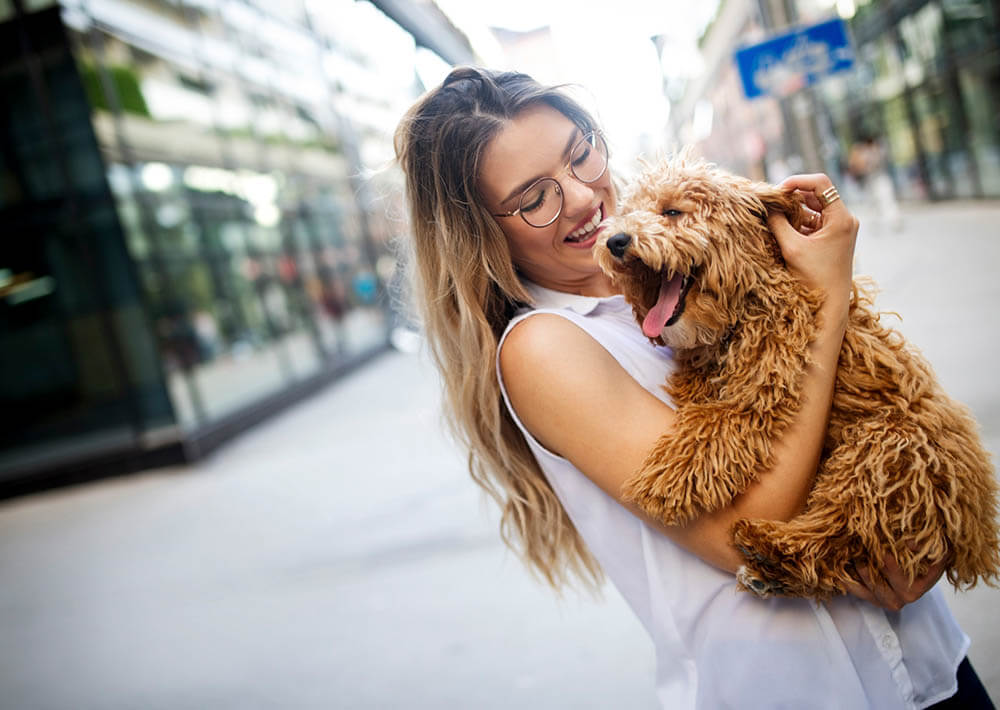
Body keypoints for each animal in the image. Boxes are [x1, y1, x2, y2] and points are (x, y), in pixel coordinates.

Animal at [592, 154, 1000, 600]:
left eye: (671, 212)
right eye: (628, 213)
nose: (616, 242)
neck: (741, 308)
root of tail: (976, 532)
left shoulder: (764, 384)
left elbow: (715, 421)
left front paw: (667, 478)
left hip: (891, 445)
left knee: (837, 530)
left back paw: (773, 546)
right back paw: (767, 570)